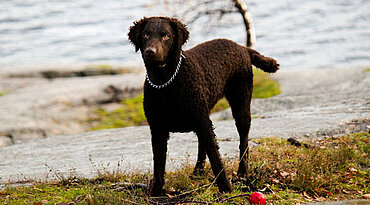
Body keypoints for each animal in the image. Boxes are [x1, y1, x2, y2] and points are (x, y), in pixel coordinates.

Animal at [127, 16, 278, 195]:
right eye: (146, 35)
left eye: (165, 36)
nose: (150, 51)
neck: (166, 82)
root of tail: (242, 47)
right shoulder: (158, 128)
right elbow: (159, 164)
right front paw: (156, 192)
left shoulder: (202, 122)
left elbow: (216, 159)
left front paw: (226, 189)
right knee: (202, 144)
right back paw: (198, 171)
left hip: (240, 105)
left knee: (243, 141)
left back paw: (242, 173)